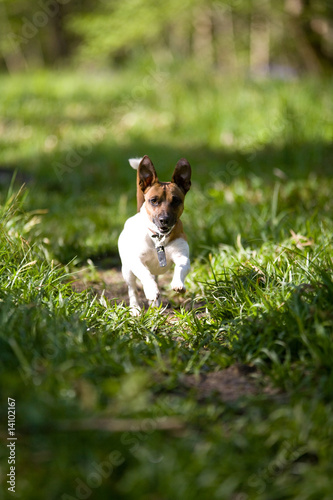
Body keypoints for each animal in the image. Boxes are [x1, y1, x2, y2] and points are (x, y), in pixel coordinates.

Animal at [118, 154, 191, 314]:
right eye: (153, 200)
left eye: (176, 200)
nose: (164, 220)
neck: (159, 239)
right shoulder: (136, 261)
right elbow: (144, 274)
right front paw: (151, 290)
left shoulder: (182, 256)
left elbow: (181, 267)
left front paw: (178, 283)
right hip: (127, 270)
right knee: (132, 289)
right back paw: (135, 308)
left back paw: (155, 304)